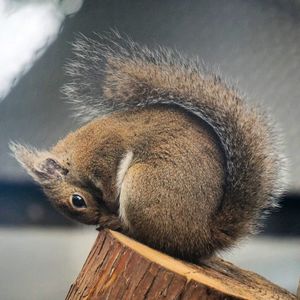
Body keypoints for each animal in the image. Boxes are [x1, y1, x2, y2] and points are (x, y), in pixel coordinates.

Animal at [9, 32, 286, 260]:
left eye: (77, 201)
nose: (96, 217)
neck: (74, 155)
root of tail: (202, 237)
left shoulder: (105, 151)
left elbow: (110, 176)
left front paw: (109, 201)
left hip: (143, 188)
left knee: (150, 237)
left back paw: (118, 223)